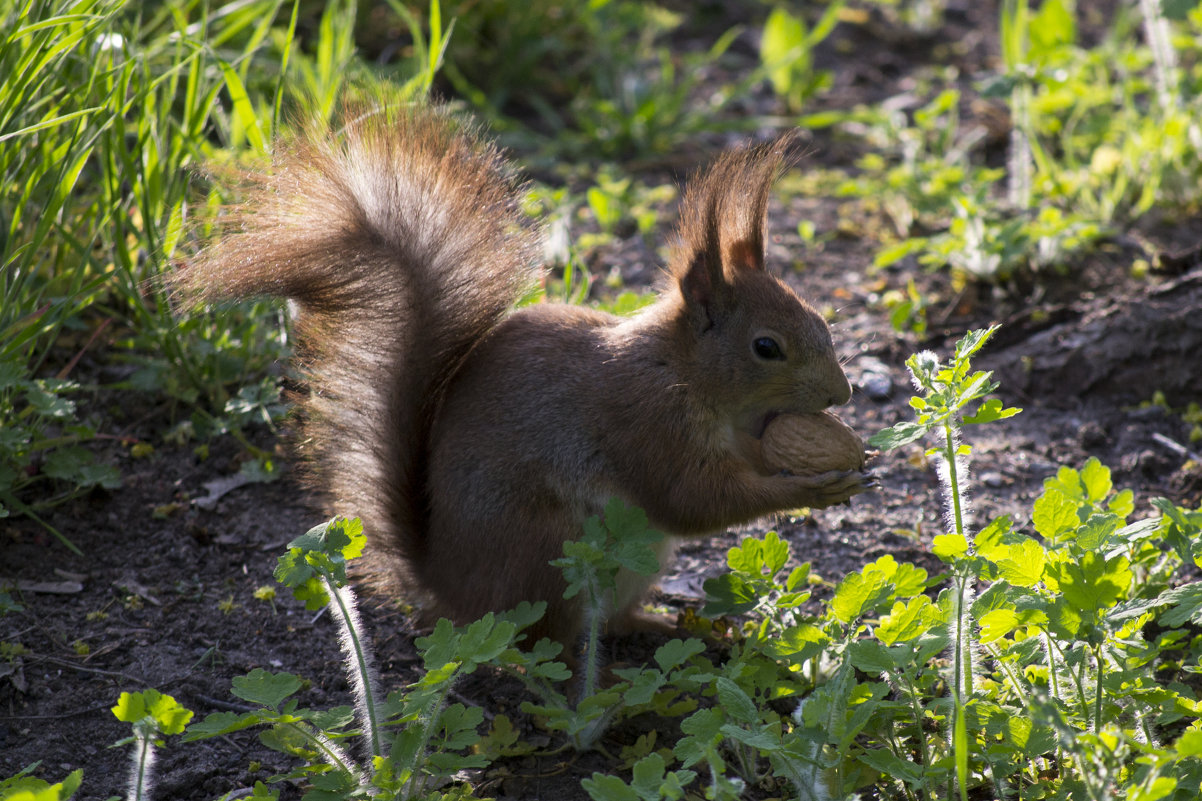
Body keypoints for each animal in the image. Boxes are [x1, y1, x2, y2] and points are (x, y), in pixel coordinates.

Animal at [177, 102, 870, 644]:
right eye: (766, 347)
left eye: (819, 318)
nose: (842, 393)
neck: (682, 373)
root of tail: (450, 587)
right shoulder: (644, 422)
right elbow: (693, 500)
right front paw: (811, 487)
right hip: (551, 554)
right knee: (551, 644)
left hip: (631, 562)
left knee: (606, 626)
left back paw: (676, 629)